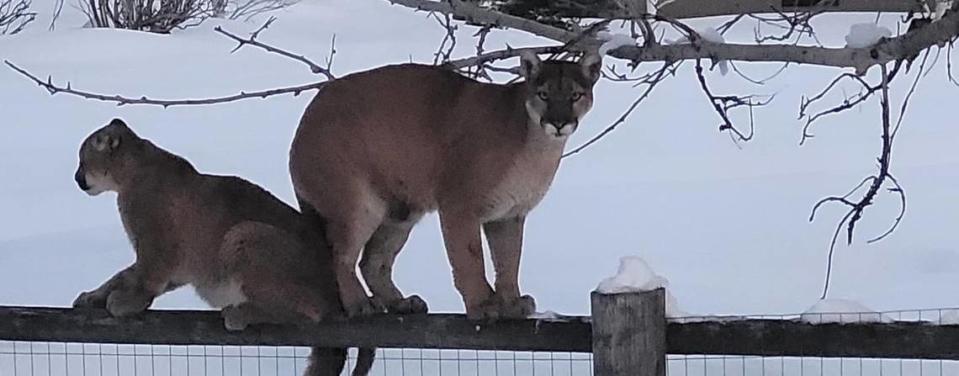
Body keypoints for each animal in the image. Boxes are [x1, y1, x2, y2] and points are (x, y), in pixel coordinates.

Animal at [70, 119, 376, 376]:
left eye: (82, 161)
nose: (77, 178)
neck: (133, 171)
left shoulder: (157, 245)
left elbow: (144, 278)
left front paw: (126, 302)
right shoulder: (176, 265)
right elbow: (123, 275)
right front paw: (93, 296)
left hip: (243, 235)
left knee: (312, 311)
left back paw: (239, 312)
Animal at [290, 50, 600, 320]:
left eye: (575, 95)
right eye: (544, 94)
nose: (559, 122)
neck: (536, 144)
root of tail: (305, 120)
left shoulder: (509, 215)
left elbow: (509, 260)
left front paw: (512, 303)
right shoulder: (459, 205)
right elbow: (469, 258)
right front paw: (482, 305)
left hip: (400, 210)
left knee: (372, 261)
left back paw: (401, 303)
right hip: (358, 203)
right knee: (340, 253)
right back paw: (360, 304)